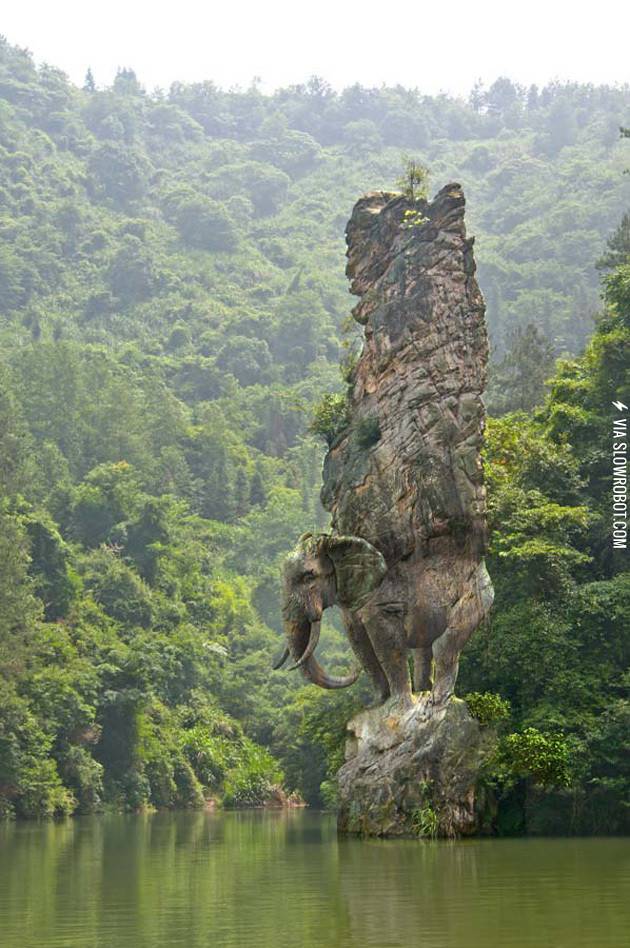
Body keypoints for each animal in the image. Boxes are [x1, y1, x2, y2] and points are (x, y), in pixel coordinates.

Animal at [274, 531, 494, 707]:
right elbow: (360, 643)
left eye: (309, 577)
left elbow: (385, 642)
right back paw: (424, 693)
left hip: (477, 594)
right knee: (425, 649)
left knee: (444, 645)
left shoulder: (379, 597)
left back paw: (437, 700)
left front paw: (399, 706)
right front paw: (377, 704)